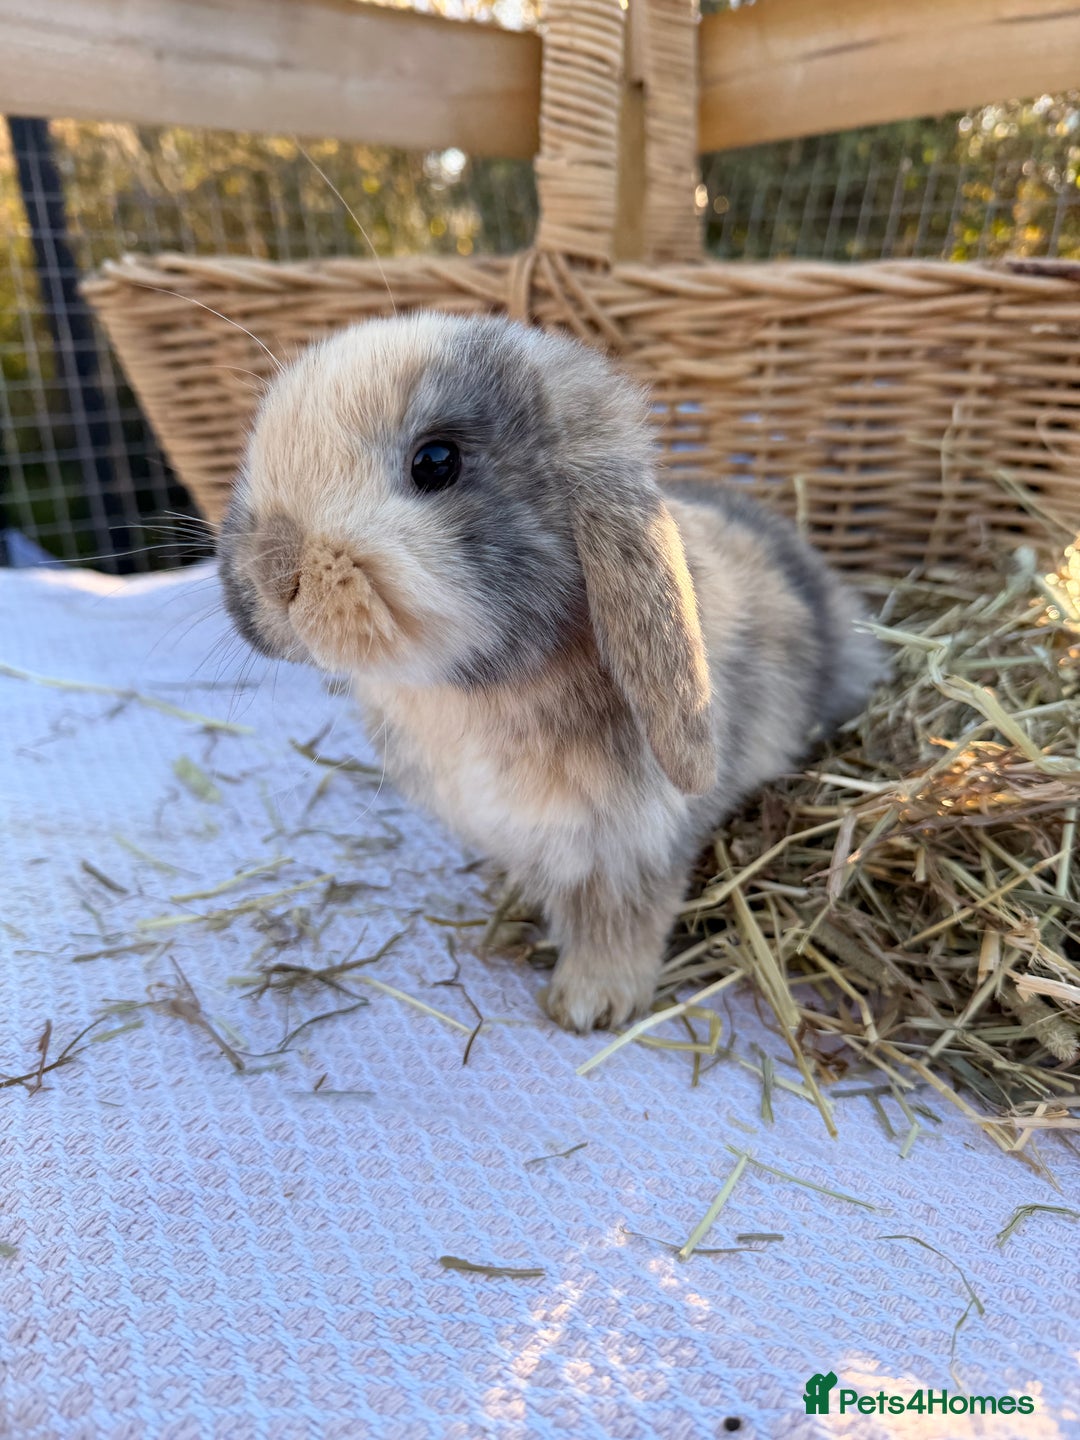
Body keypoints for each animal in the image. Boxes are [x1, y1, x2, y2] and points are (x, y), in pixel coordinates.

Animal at [218, 312, 882, 1032]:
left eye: (436, 462)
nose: (272, 569)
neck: (462, 692)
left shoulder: (634, 847)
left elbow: (620, 924)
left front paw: (591, 1005)